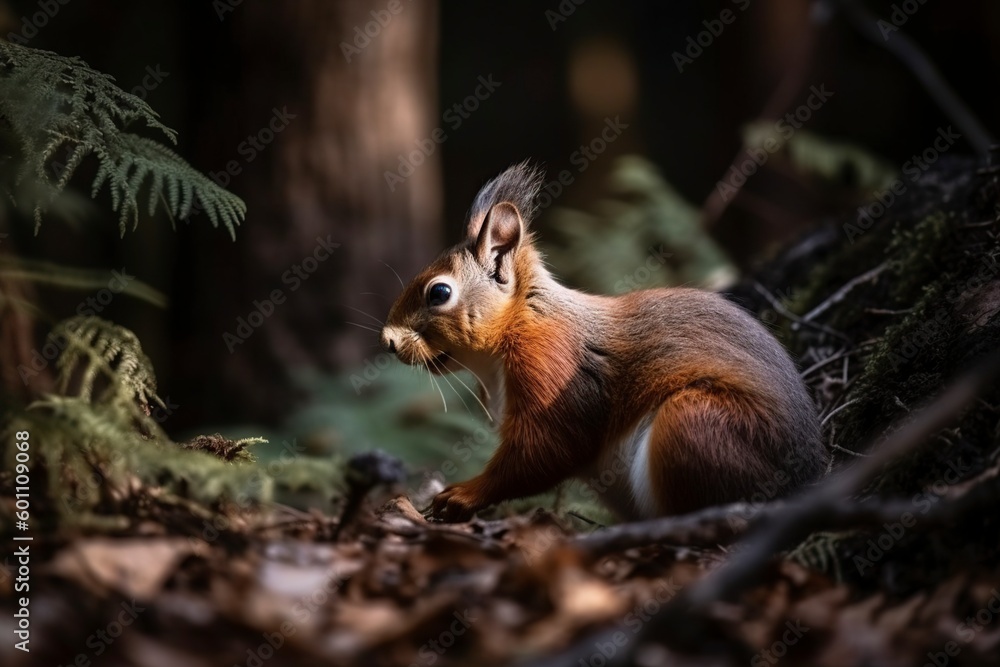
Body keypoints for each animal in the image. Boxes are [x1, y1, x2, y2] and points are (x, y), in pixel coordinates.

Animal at [381, 162, 827, 522]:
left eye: (439, 293)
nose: (387, 340)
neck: (520, 325)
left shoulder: (552, 365)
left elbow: (545, 451)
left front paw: (463, 493)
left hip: (696, 424)